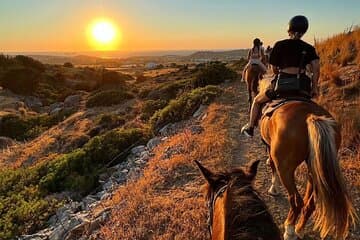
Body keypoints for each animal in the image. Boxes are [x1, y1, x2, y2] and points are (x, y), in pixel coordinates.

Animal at [258, 78, 358, 238]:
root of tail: (311, 116)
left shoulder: (270, 149)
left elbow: (272, 166)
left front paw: (273, 189)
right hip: (315, 169)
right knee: (309, 204)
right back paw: (299, 229)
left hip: (286, 168)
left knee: (296, 201)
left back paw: (290, 230)